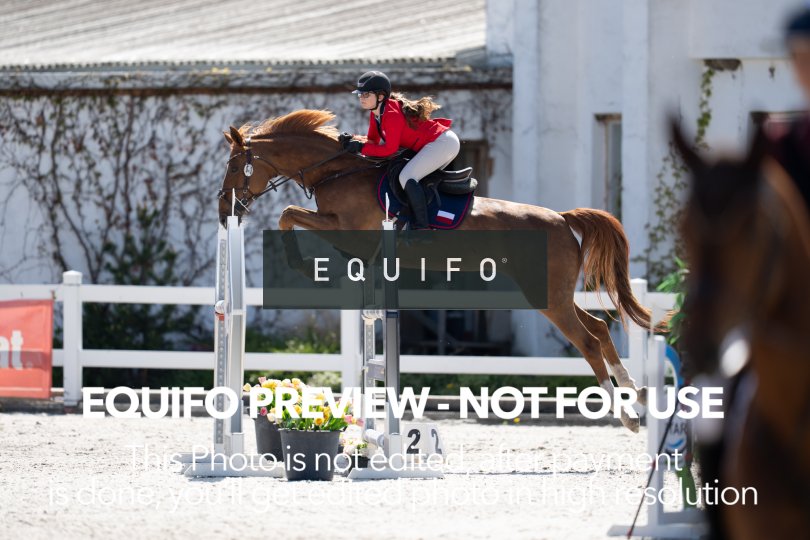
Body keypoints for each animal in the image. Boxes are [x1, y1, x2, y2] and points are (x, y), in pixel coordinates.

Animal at [218, 109, 665, 431]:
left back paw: (628, 416)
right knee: (600, 328)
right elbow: (292, 214)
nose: (224, 210)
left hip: (547, 297)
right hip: (554, 294)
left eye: (235, 165)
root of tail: (561, 219)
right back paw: (637, 391)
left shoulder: (346, 229)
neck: (337, 169)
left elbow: (288, 213)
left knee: (587, 341)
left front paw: (299, 263)